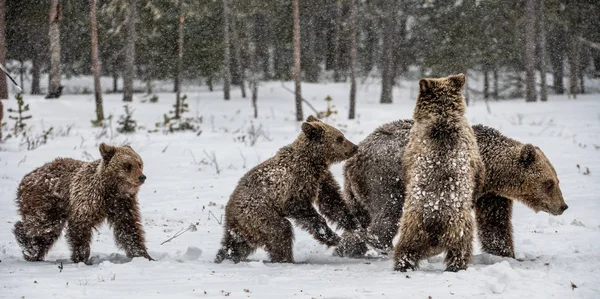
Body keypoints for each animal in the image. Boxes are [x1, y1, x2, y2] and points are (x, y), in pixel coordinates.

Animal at [13, 144, 154, 264]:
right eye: (127, 165)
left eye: (139, 163)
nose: (142, 177)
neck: (111, 190)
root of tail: (26, 178)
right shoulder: (88, 199)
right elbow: (80, 227)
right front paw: (82, 258)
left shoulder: (122, 204)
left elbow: (129, 229)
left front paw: (144, 256)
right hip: (46, 202)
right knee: (43, 225)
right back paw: (28, 244)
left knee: (48, 232)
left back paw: (34, 253)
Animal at [216, 116, 364, 264]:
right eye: (339, 138)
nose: (355, 147)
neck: (314, 161)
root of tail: (230, 211)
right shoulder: (295, 184)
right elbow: (302, 209)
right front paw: (333, 237)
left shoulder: (321, 180)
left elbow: (332, 202)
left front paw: (355, 225)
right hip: (258, 214)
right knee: (280, 231)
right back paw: (285, 259)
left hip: (246, 227)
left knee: (236, 244)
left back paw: (225, 256)